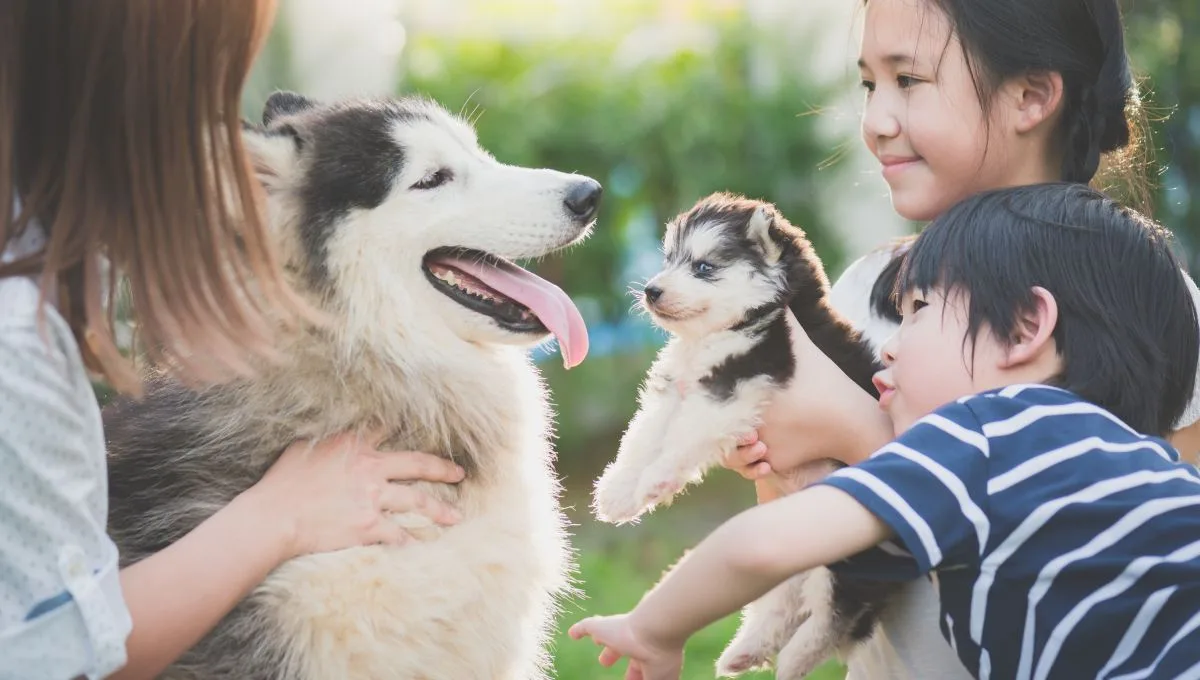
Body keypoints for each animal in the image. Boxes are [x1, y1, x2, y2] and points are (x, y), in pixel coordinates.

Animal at [595, 193, 897, 680]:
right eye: (669, 260)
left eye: (703, 267)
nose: (651, 290)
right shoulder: (675, 389)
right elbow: (642, 436)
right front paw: (620, 493)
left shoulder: (737, 378)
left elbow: (683, 437)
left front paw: (657, 479)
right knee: (784, 598)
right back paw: (747, 649)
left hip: (847, 544)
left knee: (839, 610)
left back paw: (792, 660)